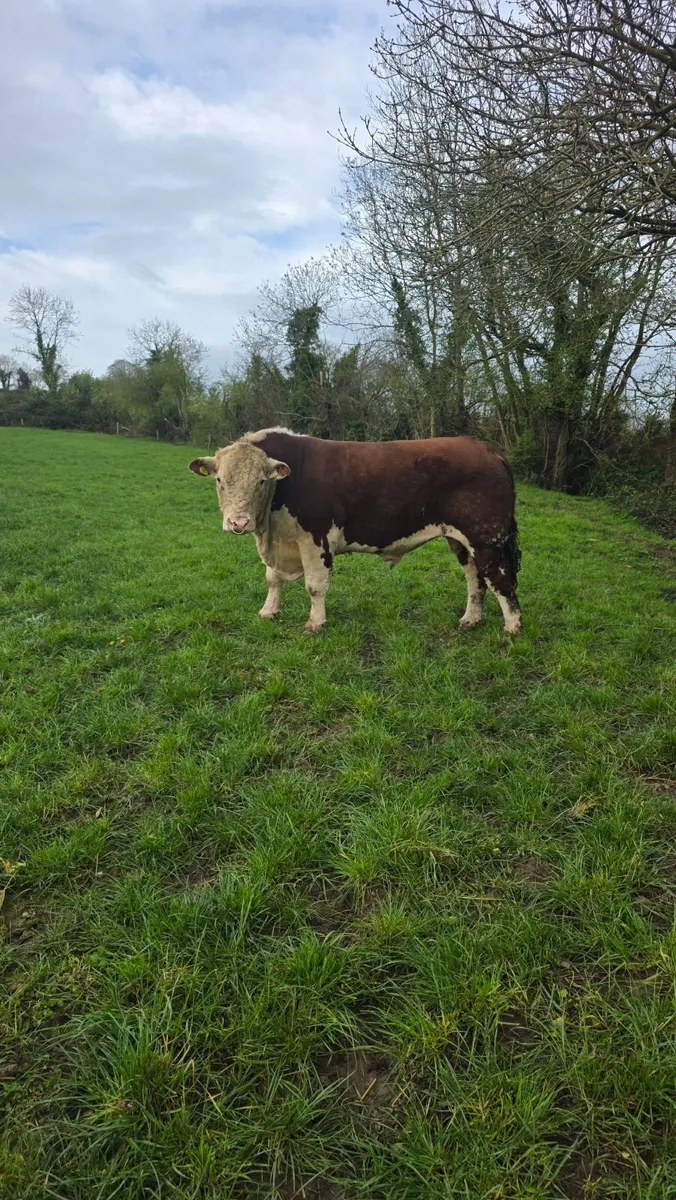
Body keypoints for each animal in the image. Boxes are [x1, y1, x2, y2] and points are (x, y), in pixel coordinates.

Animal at [189, 428, 522, 635]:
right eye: (219, 480)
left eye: (260, 481)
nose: (238, 523)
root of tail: (484, 447)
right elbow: (272, 579)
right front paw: (268, 611)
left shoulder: (315, 540)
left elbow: (314, 586)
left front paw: (315, 623)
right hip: (460, 540)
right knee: (475, 578)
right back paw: (470, 619)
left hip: (487, 538)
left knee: (500, 579)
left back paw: (513, 627)